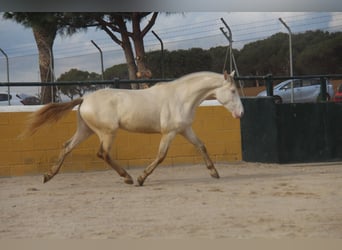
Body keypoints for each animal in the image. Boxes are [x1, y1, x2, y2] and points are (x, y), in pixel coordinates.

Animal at [23, 70, 243, 186]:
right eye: (233, 90)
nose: (241, 113)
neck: (181, 98)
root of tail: (85, 98)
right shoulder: (169, 132)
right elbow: (161, 156)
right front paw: (141, 178)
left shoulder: (184, 130)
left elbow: (201, 146)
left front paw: (214, 172)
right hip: (107, 132)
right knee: (103, 153)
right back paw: (127, 177)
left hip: (86, 130)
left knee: (67, 146)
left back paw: (48, 175)